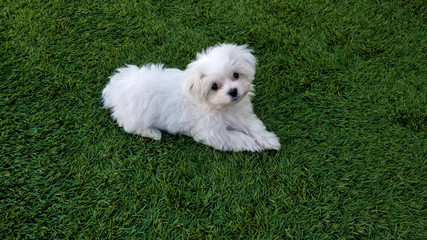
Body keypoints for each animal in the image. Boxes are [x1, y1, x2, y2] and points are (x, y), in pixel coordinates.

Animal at [103, 44, 280, 151]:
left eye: (236, 75)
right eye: (214, 86)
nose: (233, 91)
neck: (222, 107)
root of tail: (116, 88)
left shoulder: (241, 114)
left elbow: (254, 126)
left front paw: (269, 140)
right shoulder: (214, 133)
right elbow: (237, 137)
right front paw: (254, 144)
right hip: (136, 117)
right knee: (131, 126)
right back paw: (153, 133)